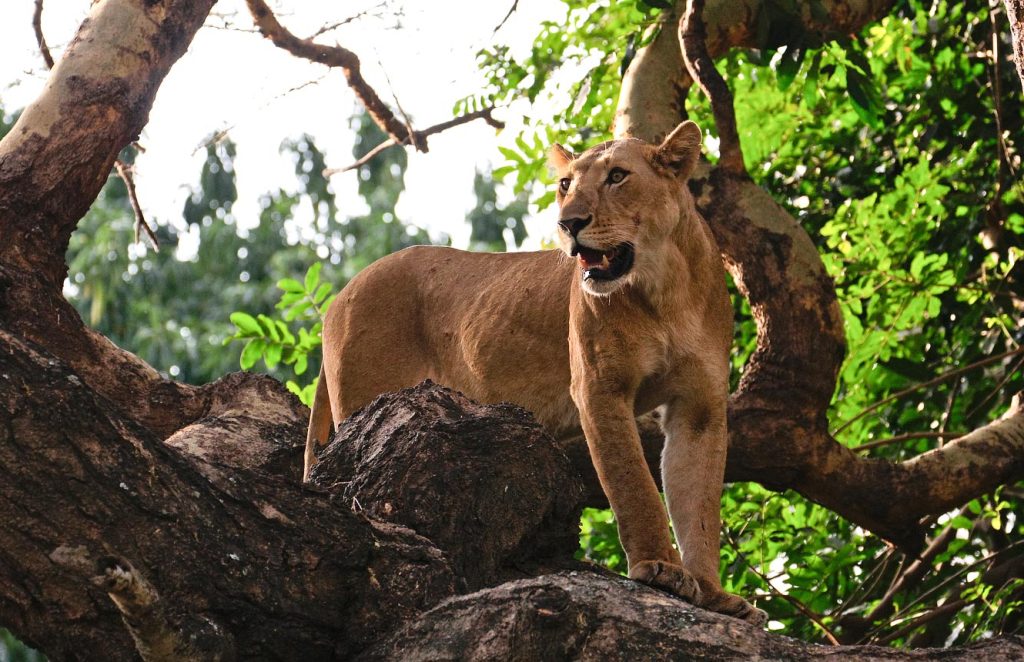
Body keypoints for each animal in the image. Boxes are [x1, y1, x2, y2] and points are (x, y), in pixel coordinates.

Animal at [303, 121, 767, 625]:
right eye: (565, 184)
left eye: (617, 177)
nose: (568, 224)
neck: (664, 288)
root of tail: (341, 294)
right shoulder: (599, 388)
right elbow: (635, 485)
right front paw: (659, 568)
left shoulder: (699, 406)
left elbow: (698, 502)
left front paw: (714, 595)